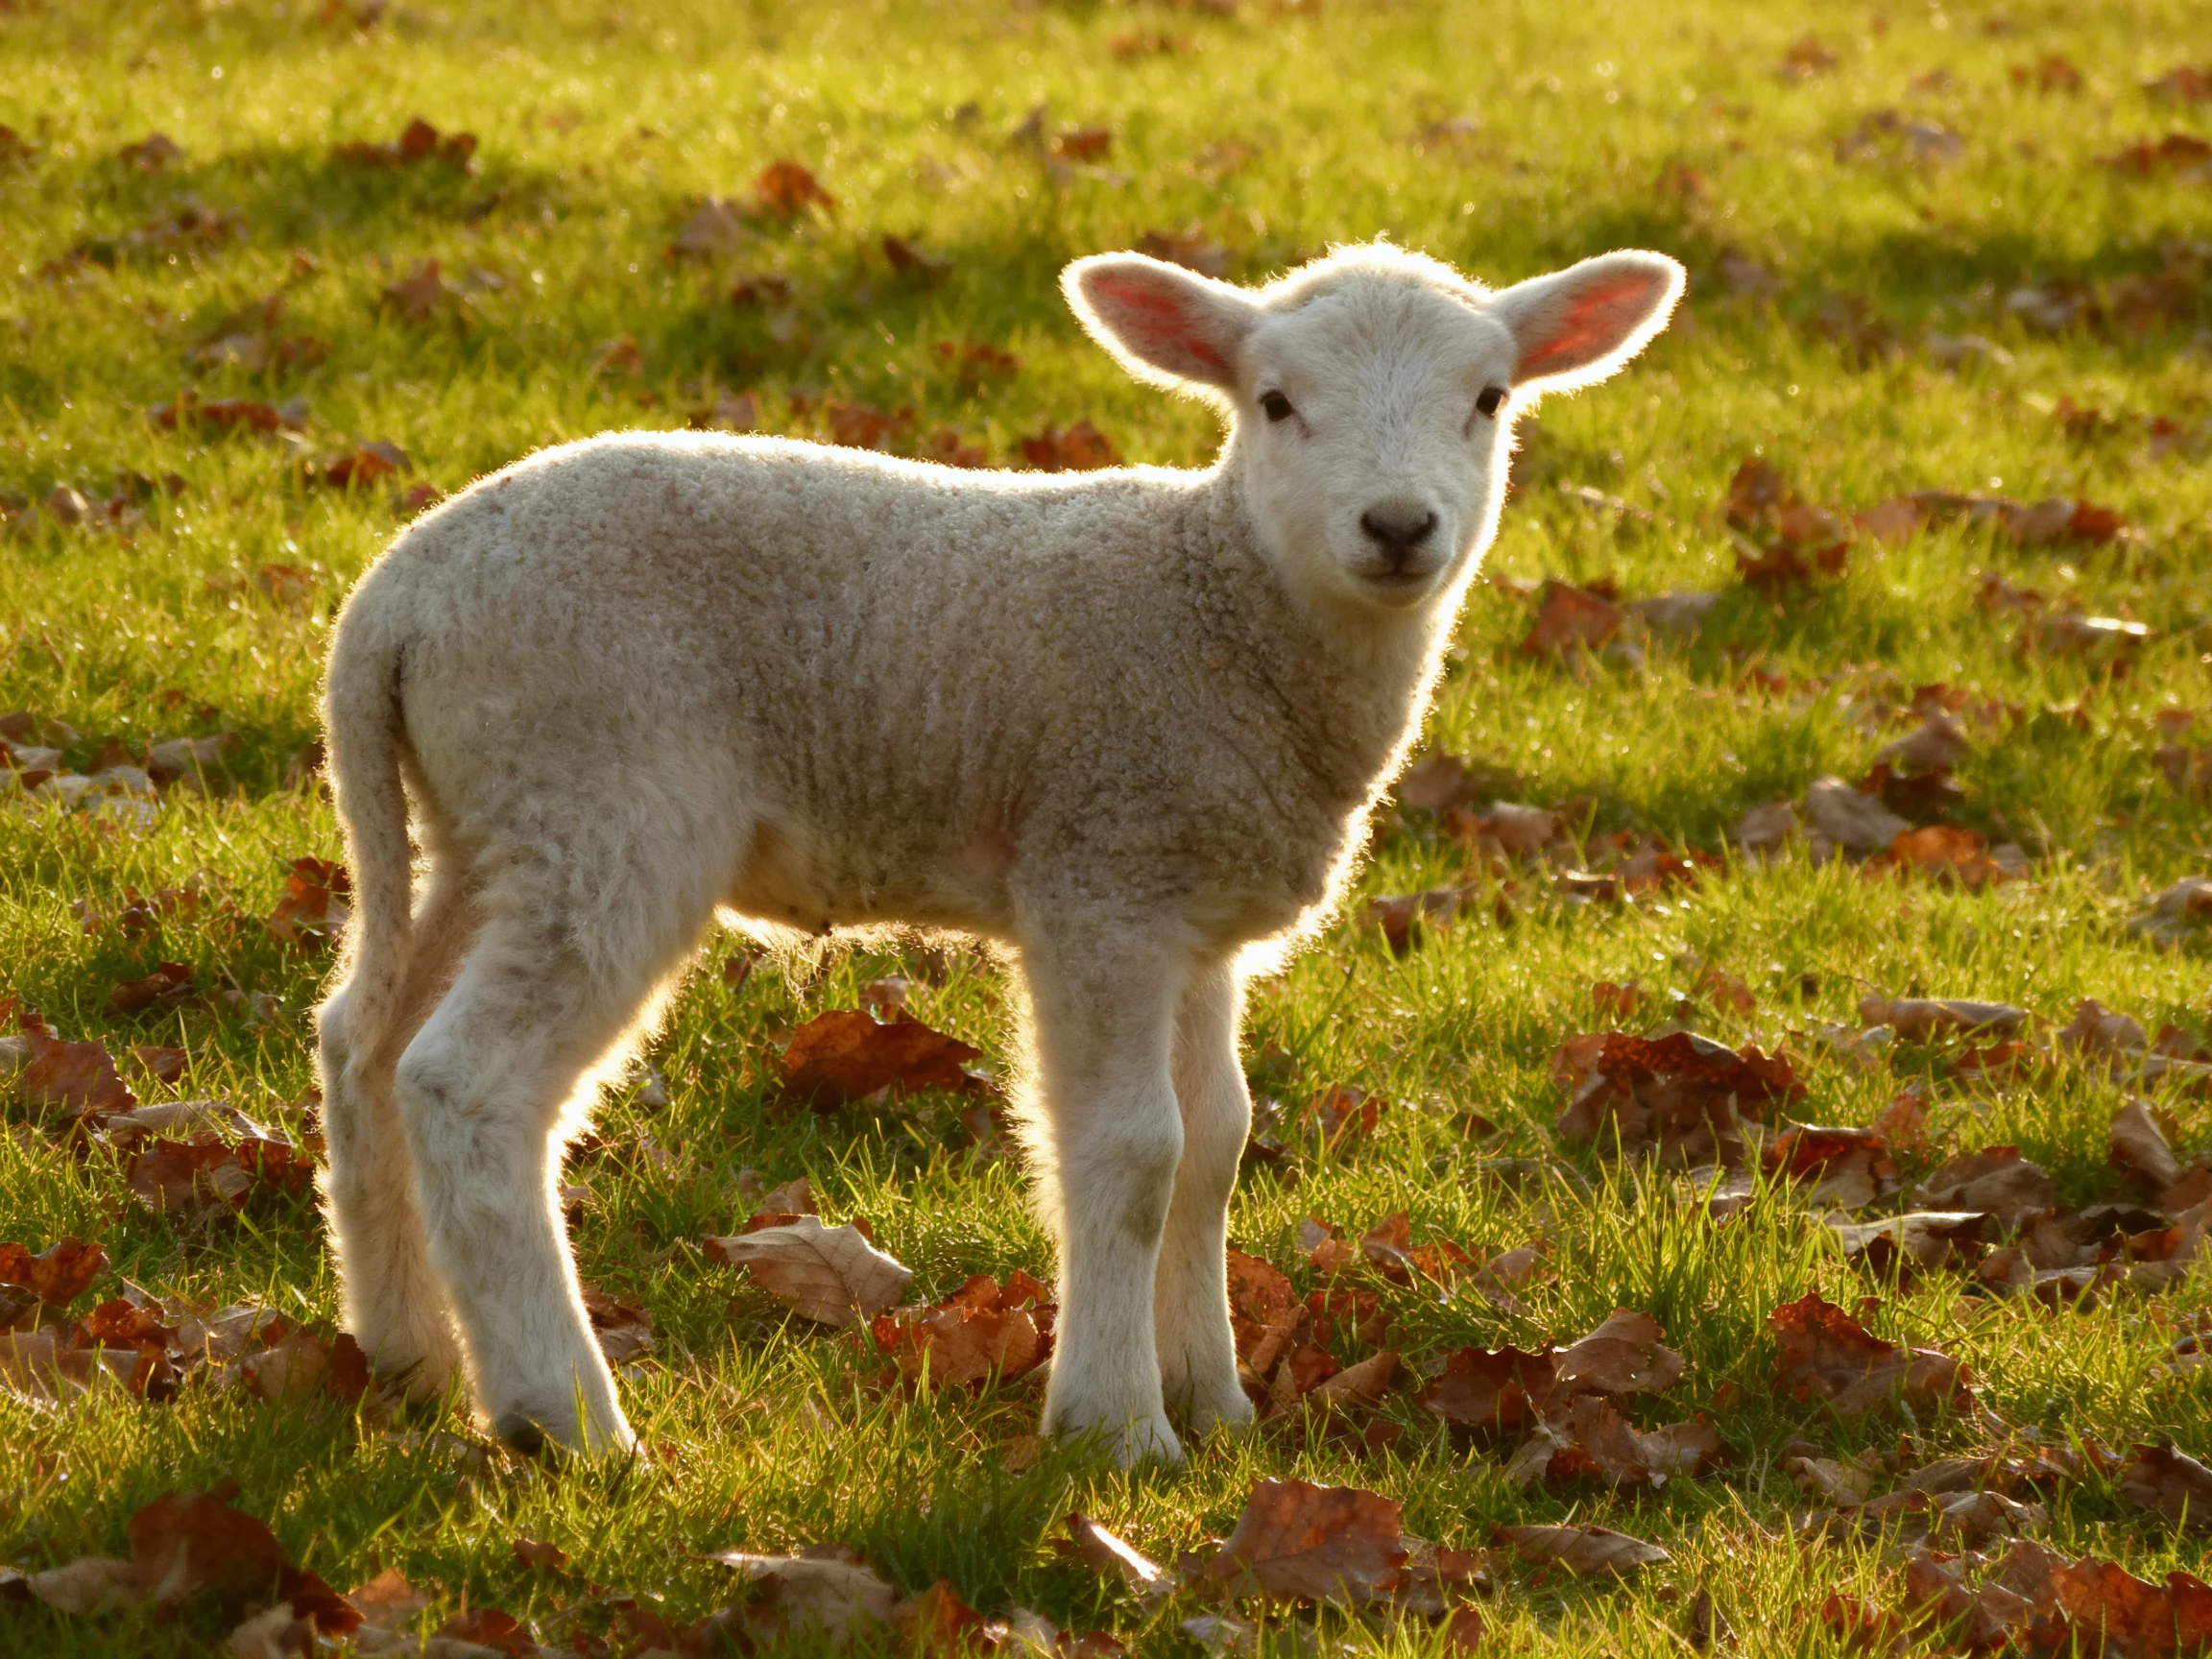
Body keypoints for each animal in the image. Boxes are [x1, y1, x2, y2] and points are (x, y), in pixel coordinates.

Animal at [313, 238, 1684, 1464]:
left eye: (1489, 399)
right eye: (1277, 402)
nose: (1398, 526)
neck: (1226, 610)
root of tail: (397, 597)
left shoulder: (1194, 915)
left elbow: (1217, 1142)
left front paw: (1217, 1407)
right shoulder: (1100, 875)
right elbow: (1133, 1152)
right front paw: (1118, 1430)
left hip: (488, 826)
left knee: (362, 1046)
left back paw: (408, 1357)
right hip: (602, 803)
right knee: (464, 1083)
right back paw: (568, 1422)